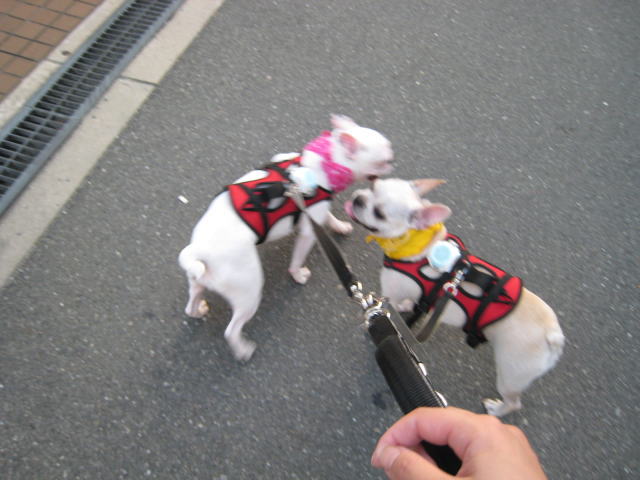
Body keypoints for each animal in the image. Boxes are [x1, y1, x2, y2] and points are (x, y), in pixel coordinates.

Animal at [178, 115, 393, 361]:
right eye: (383, 161)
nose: (393, 161)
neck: (329, 159)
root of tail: (199, 250)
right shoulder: (308, 231)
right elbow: (298, 258)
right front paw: (298, 275)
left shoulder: (316, 211)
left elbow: (328, 218)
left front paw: (339, 226)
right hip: (248, 290)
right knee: (231, 330)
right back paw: (243, 350)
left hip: (198, 279)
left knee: (192, 300)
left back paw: (198, 310)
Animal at [344, 178, 564, 416]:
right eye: (373, 186)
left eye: (379, 214)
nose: (358, 199)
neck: (416, 244)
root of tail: (552, 334)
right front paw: (408, 306)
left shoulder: (389, 293)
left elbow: (380, 311)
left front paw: (373, 323)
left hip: (511, 373)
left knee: (513, 402)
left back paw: (496, 409)